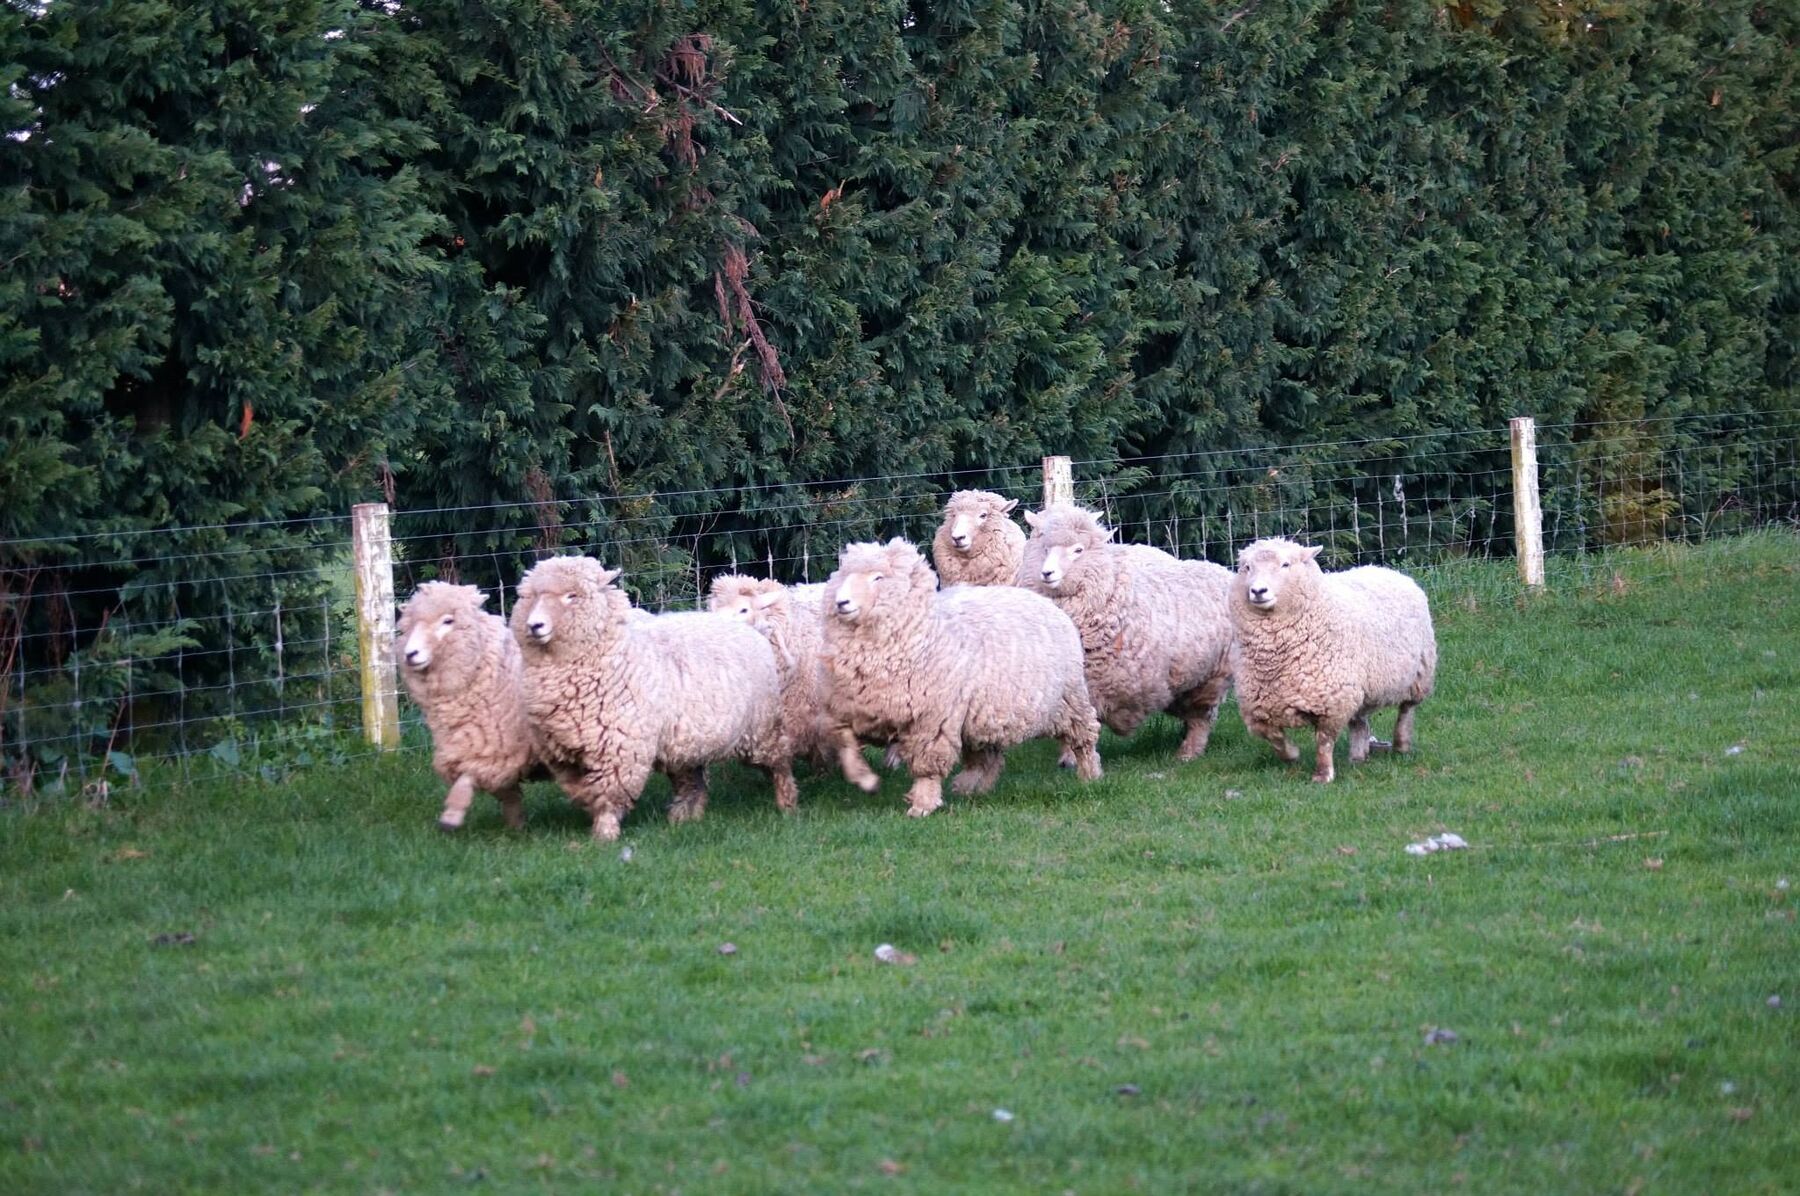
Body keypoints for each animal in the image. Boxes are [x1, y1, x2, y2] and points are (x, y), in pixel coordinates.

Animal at [395, 582, 539, 832]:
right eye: (410, 624)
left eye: (448, 621)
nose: (410, 654)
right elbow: (507, 793)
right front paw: (516, 825)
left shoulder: (496, 747)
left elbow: (468, 776)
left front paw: (451, 816)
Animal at [512, 556, 797, 839]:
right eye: (532, 596)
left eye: (572, 596)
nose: (534, 626)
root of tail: (751, 630)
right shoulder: (565, 755)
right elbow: (583, 791)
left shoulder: (619, 748)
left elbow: (608, 793)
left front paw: (604, 835)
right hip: (685, 742)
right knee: (692, 780)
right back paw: (684, 818)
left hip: (759, 729)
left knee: (779, 762)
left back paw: (787, 803)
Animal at [820, 537, 1101, 817]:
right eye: (843, 575)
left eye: (878, 578)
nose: (841, 603)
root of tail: (1046, 602)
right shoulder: (857, 710)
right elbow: (845, 742)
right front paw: (864, 778)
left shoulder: (933, 719)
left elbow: (927, 766)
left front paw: (922, 803)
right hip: (987, 713)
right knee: (989, 756)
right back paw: (971, 787)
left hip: (1070, 699)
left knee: (1084, 737)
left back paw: (1090, 775)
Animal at [1017, 505, 1236, 761]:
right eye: (1044, 548)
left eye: (1078, 550)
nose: (1047, 573)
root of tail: (1220, 569)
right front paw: (1067, 757)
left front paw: (1073, 758)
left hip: (1212, 677)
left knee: (1200, 718)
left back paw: (1188, 753)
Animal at [1229, 537, 1437, 783]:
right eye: (1247, 567)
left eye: (1286, 564)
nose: (1258, 590)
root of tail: (1387, 570)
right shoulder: (1258, 707)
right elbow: (1273, 736)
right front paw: (1292, 754)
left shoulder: (1331, 700)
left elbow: (1324, 741)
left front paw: (1322, 775)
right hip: (1360, 686)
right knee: (1360, 721)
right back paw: (1358, 756)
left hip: (1419, 673)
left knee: (1406, 710)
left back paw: (1401, 744)